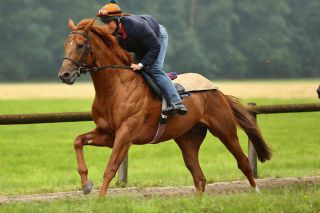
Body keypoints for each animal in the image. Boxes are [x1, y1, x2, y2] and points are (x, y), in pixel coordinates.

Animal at [58, 19, 272, 197]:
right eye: (65, 46)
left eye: (79, 45)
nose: (64, 75)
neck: (116, 87)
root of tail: (217, 91)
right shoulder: (108, 133)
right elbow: (78, 141)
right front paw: (86, 184)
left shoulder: (125, 133)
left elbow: (110, 168)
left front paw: (100, 200)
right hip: (188, 138)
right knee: (199, 177)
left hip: (225, 130)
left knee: (243, 162)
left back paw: (257, 192)